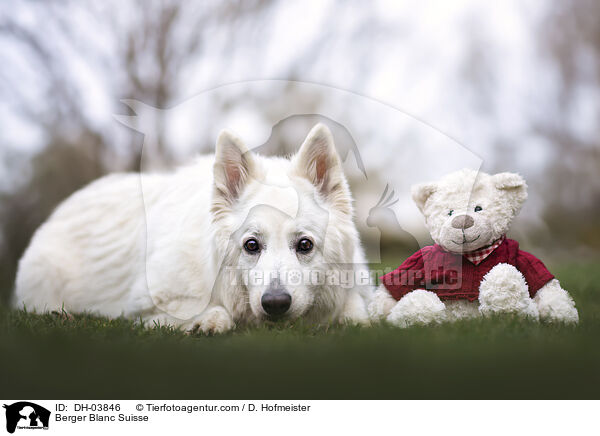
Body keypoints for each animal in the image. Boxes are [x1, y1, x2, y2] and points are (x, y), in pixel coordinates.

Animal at [12, 124, 370, 332]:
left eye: (305, 245)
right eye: (251, 245)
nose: (276, 303)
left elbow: (356, 311)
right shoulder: (149, 301)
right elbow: (203, 311)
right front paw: (209, 320)